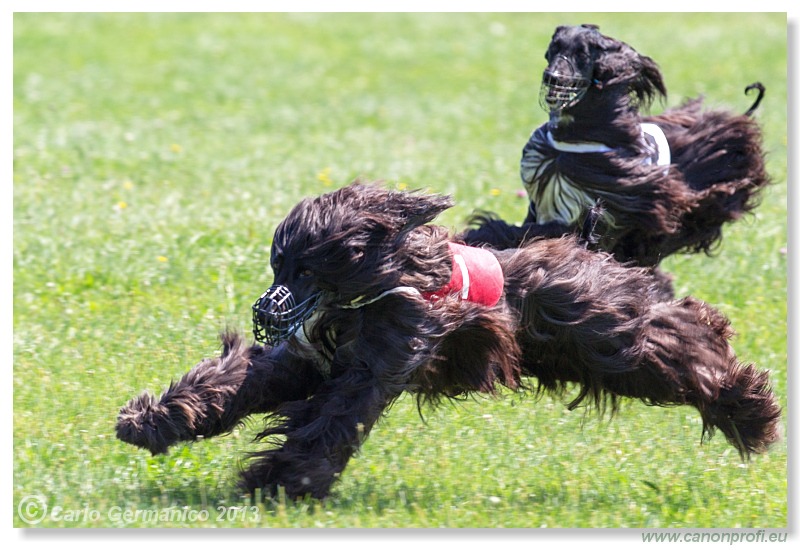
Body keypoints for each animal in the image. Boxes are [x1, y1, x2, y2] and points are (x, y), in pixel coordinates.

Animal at [115, 184, 780, 500]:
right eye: (279, 265)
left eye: (305, 268)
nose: (265, 309)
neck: (380, 283)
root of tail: (591, 248)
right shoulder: (306, 359)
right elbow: (242, 379)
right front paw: (151, 419)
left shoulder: (383, 358)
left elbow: (334, 415)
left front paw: (282, 481)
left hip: (608, 337)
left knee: (681, 341)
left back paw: (750, 408)